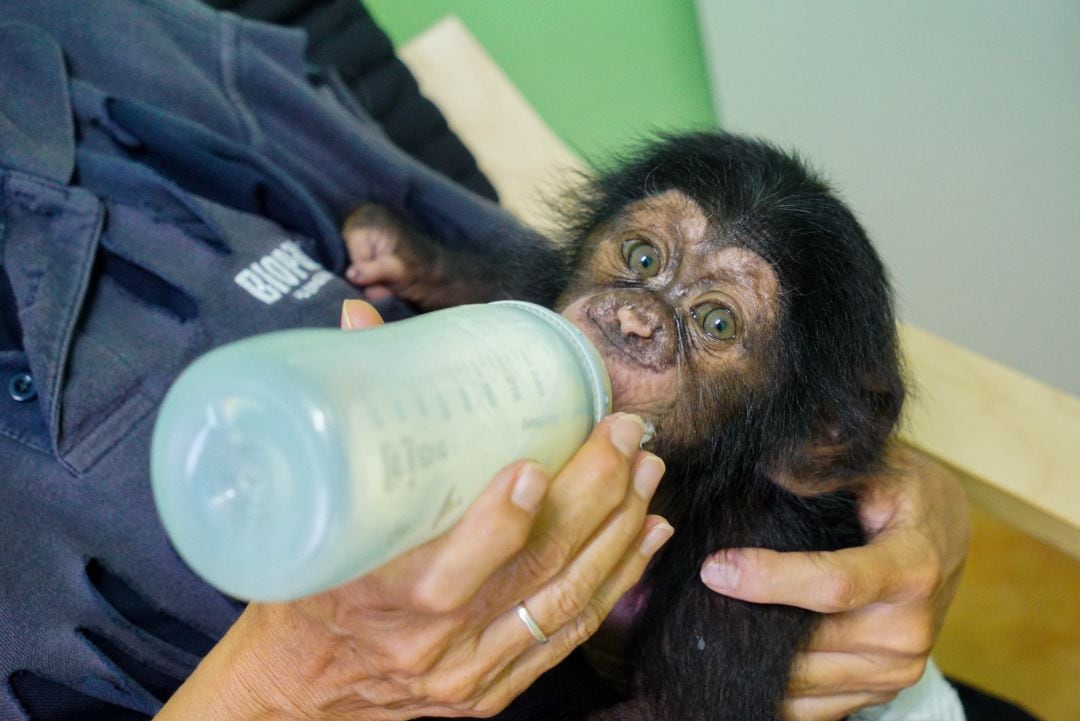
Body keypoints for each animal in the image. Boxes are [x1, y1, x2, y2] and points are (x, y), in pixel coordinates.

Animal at [343, 132, 902, 721]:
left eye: (718, 323)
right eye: (643, 257)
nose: (636, 321)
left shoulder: (765, 545)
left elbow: (669, 711)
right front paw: (400, 250)